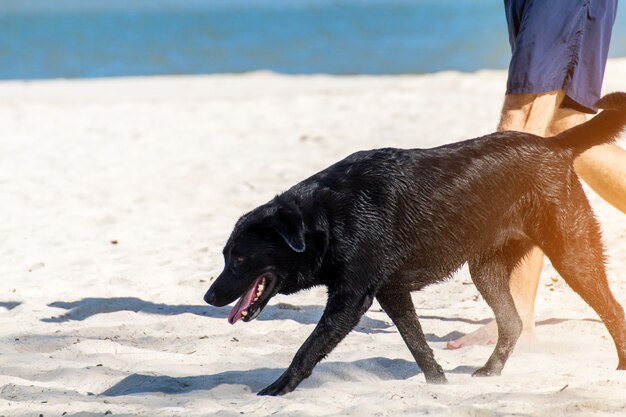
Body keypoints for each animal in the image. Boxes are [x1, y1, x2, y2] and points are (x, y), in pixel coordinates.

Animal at [204, 92, 624, 394]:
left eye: (239, 259)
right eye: (225, 257)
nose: (208, 297)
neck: (326, 218)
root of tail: (556, 147)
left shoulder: (351, 299)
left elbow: (308, 348)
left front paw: (278, 388)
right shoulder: (391, 292)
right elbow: (416, 342)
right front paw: (438, 382)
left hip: (573, 255)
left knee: (612, 309)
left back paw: (619, 367)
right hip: (486, 270)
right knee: (513, 323)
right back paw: (490, 370)